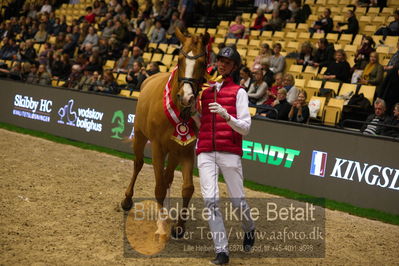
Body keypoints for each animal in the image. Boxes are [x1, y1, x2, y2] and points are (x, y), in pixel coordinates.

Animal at [121, 28, 209, 238]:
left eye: (203, 63)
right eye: (180, 59)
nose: (187, 97)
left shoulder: (186, 150)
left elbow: (187, 188)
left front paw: (179, 226)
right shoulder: (158, 148)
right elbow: (159, 187)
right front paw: (162, 225)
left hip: (174, 151)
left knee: (167, 176)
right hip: (140, 136)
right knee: (138, 164)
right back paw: (127, 200)